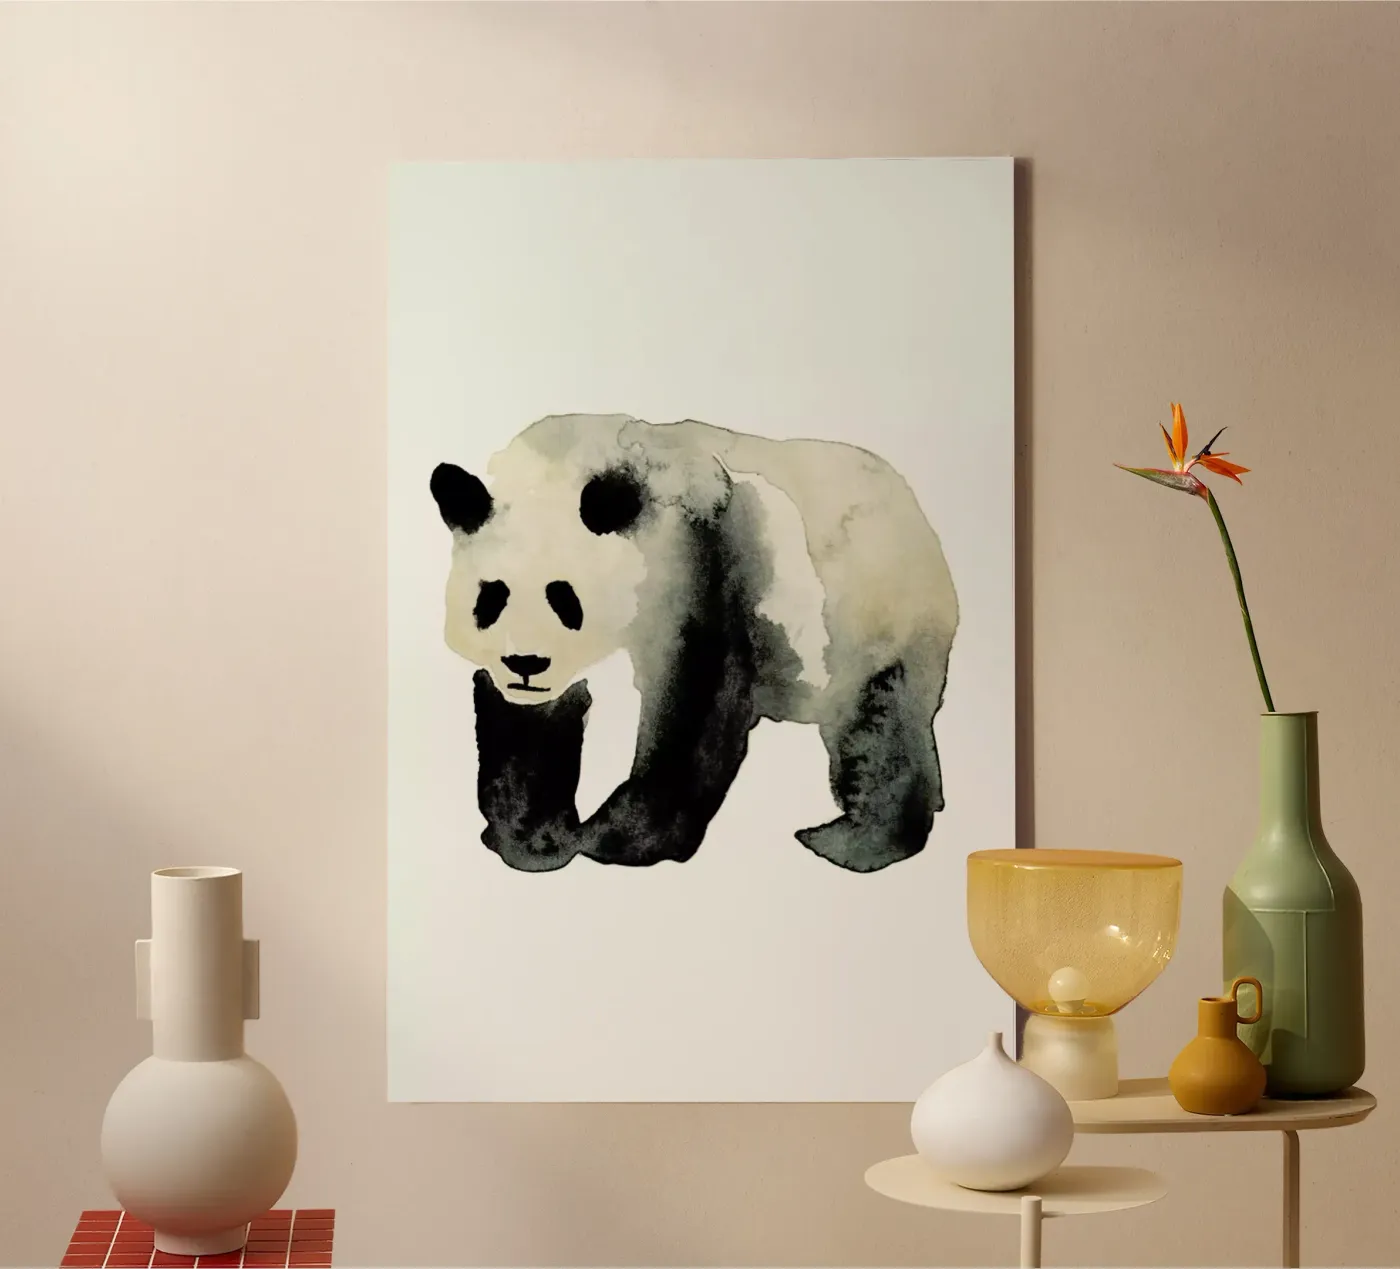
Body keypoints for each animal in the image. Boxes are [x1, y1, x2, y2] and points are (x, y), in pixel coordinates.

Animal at [429, 413, 959, 874]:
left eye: (564, 597)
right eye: (492, 595)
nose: (526, 663)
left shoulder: (702, 558)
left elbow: (694, 698)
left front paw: (616, 840)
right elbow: (528, 729)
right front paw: (531, 839)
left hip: (876, 615)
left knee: (879, 725)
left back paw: (852, 841)